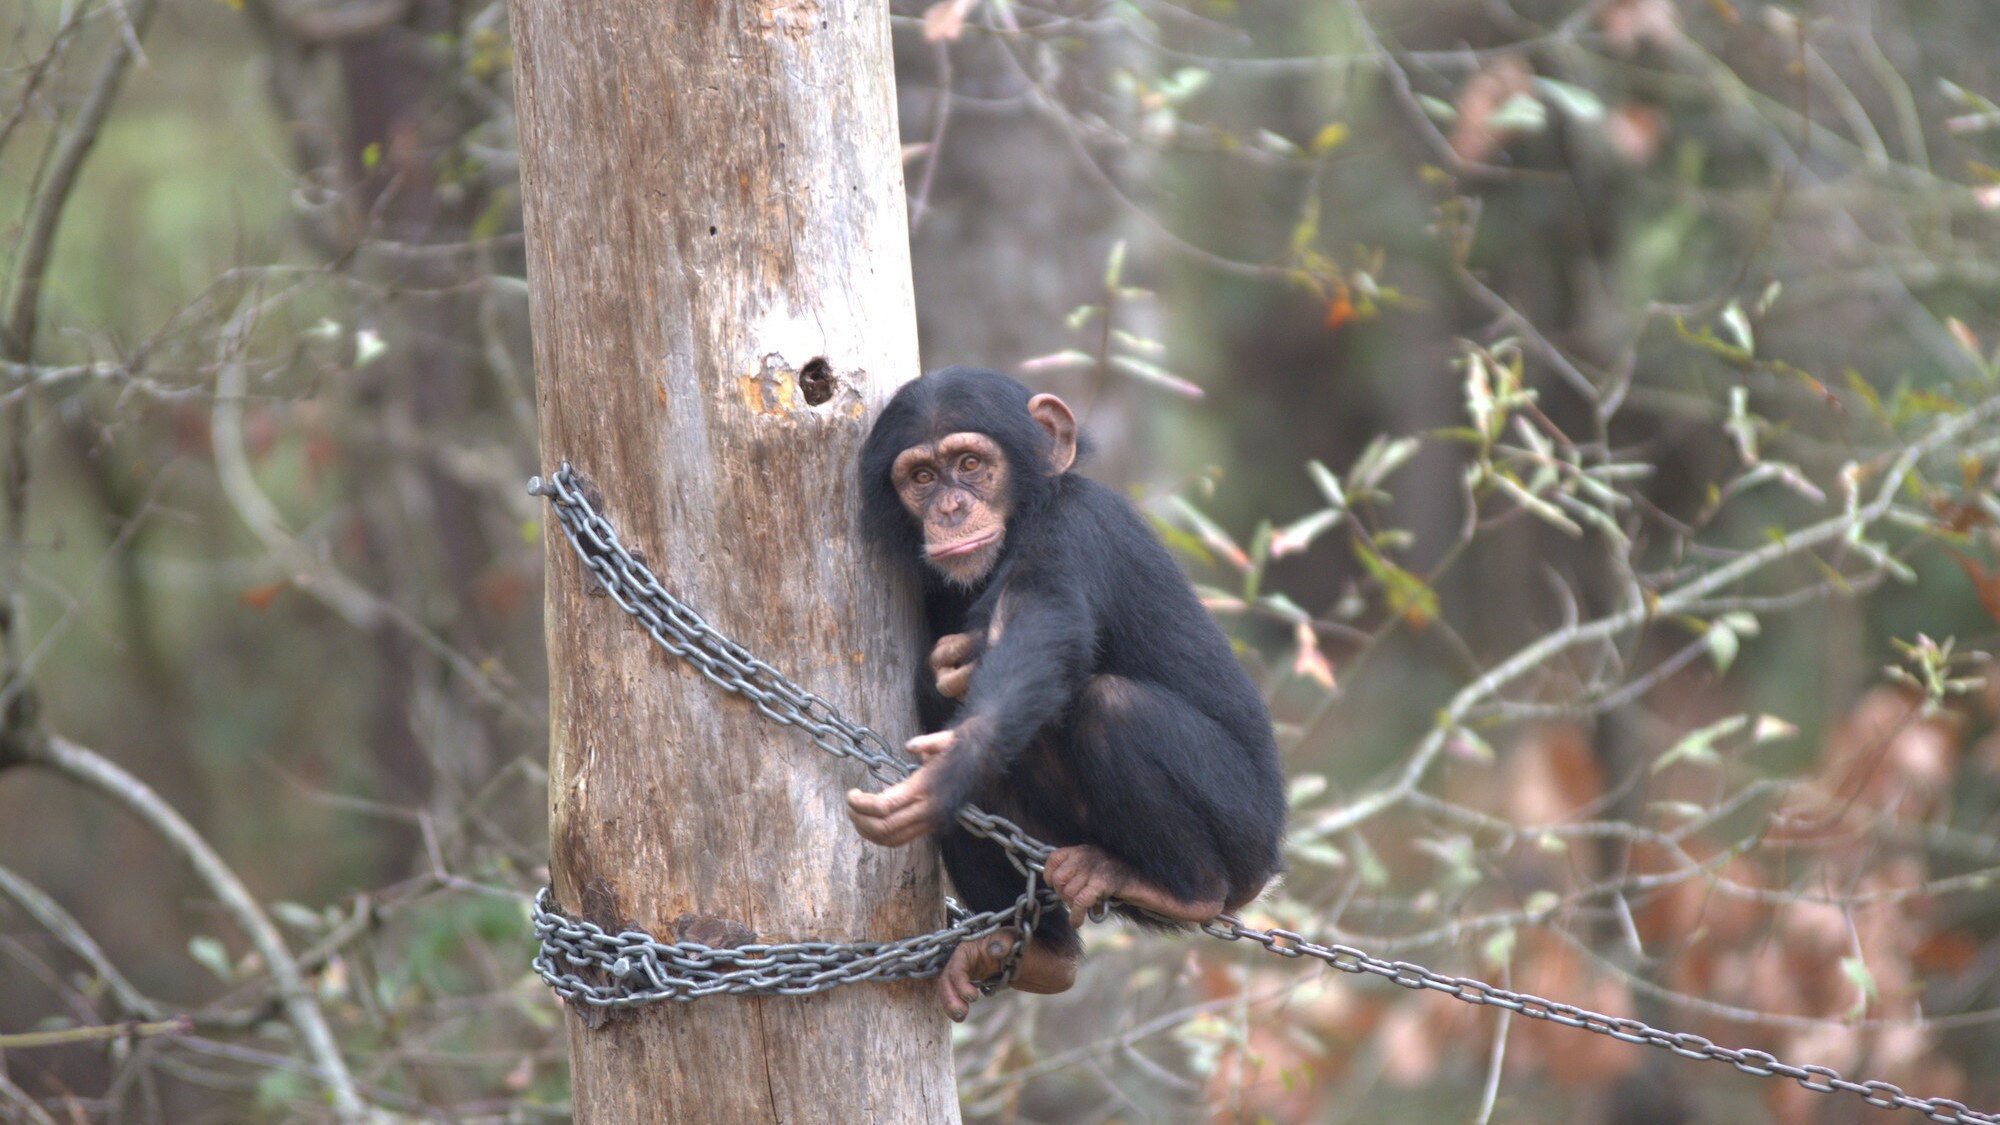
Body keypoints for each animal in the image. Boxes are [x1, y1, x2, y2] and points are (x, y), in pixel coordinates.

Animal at [840, 366, 1280, 1016]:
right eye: (920, 477)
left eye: (970, 463)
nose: (950, 507)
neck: (1025, 517)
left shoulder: (1075, 529)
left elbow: (1043, 627)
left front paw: (952, 763)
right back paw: (1039, 956)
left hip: (1245, 832)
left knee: (1113, 709)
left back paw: (1189, 892)